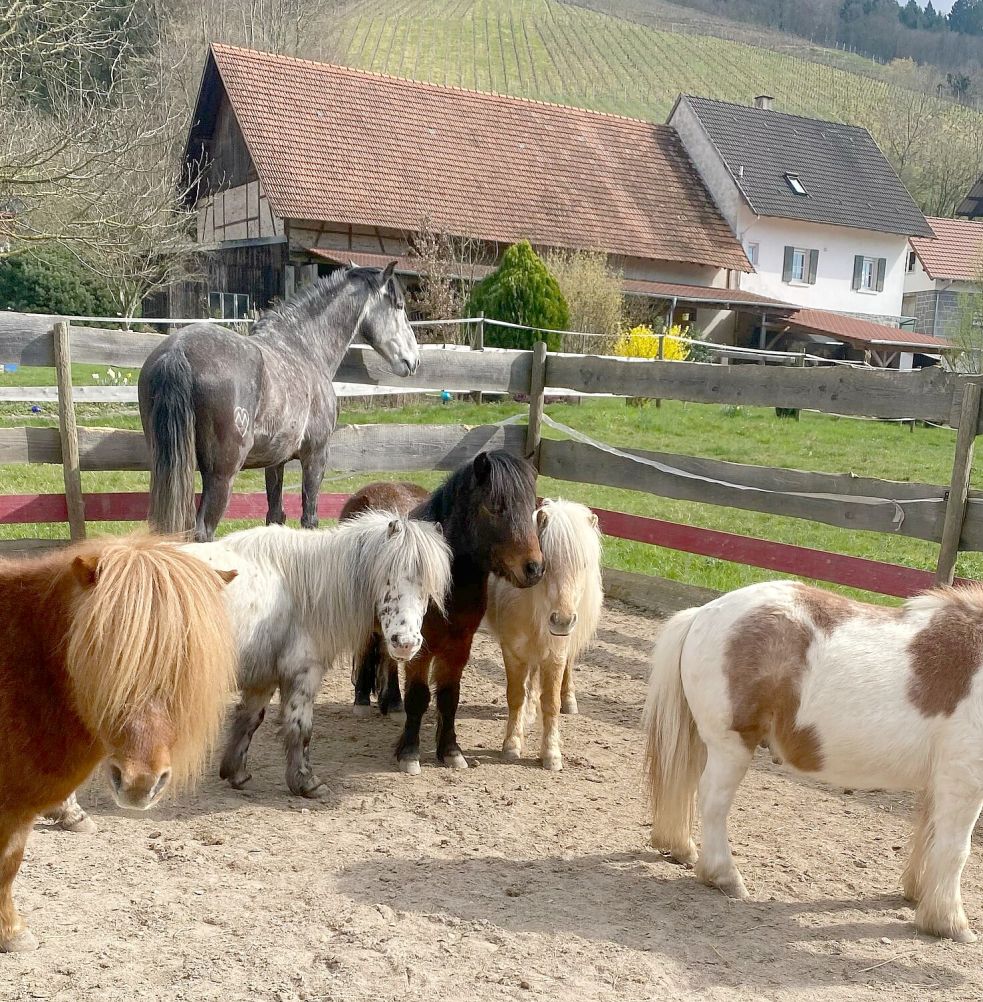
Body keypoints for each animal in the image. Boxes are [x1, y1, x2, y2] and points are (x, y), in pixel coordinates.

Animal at [138, 263, 420, 542]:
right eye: (399, 306)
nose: (413, 360)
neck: (305, 347)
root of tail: (178, 351)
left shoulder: (275, 462)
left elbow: (275, 515)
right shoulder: (316, 455)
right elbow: (309, 518)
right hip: (221, 475)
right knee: (202, 532)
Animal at [185, 511, 452, 798]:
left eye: (427, 589)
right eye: (388, 578)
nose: (405, 643)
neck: (301, 589)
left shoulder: (263, 679)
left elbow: (249, 719)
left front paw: (237, 774)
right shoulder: (304, 672)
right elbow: (300, 727)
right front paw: (307, 783)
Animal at [341, 450, 544, 775]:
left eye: (531, 507)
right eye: (494, 507)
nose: (533, 568)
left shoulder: (459, 645)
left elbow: (449, 697)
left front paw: (451, 751)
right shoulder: (423, 648)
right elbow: (419, 696)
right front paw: (409, 753)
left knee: (387, 656)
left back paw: (392, 703)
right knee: (367, 648)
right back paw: (362, 700)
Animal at [484, 499, 603, 771]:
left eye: (583, 565)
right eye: (546, 564)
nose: (562, 621)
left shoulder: (556, 654)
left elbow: (551, 703)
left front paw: (551, 754)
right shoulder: (513, 651)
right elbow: (516, 695)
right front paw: (512, 745)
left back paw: (569, 700)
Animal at [643, 578, 983, 943]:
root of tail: (703, 613)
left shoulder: (942, 779)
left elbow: (931, 837)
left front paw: (919, 897)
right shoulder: (964, 779)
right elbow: (955, 848)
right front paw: (949, 922)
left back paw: (683, 850)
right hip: (730, 747)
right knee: (712, 802)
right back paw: (724, 876)